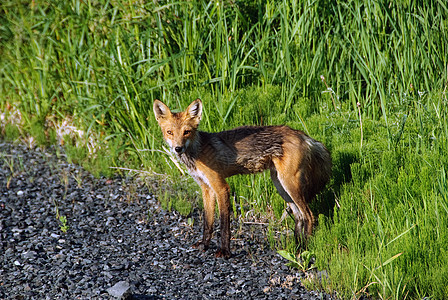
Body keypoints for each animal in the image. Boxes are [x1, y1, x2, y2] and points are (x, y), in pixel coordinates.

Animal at [152, 98, 330, 258]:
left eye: (186, 132)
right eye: (170, 132)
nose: (178, 148)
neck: (197, 152)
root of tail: (303, 135)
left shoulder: (221, 187)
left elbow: (224, 224)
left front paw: (224, 252)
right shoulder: (206, 188)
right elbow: (208, 222)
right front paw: (204, 245)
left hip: (290, 184)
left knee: (309, 216)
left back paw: (304, 249)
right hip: (281, 185)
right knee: (299, 217)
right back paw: (297, 247)